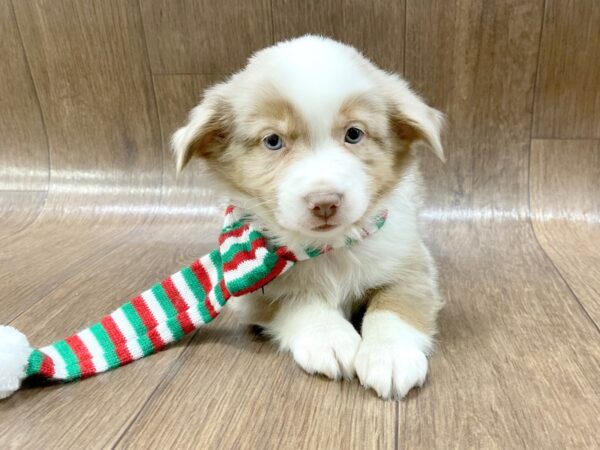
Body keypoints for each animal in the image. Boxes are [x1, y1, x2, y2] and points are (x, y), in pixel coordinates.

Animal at [171, 36, 442, 400]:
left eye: (354, 134)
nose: (325, 202)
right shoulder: (252, 296)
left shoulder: (411, 263)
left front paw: (390, 354)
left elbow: (394, 304)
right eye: (273, 140)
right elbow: (299, 299)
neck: (327, 248)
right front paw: (330, 338)